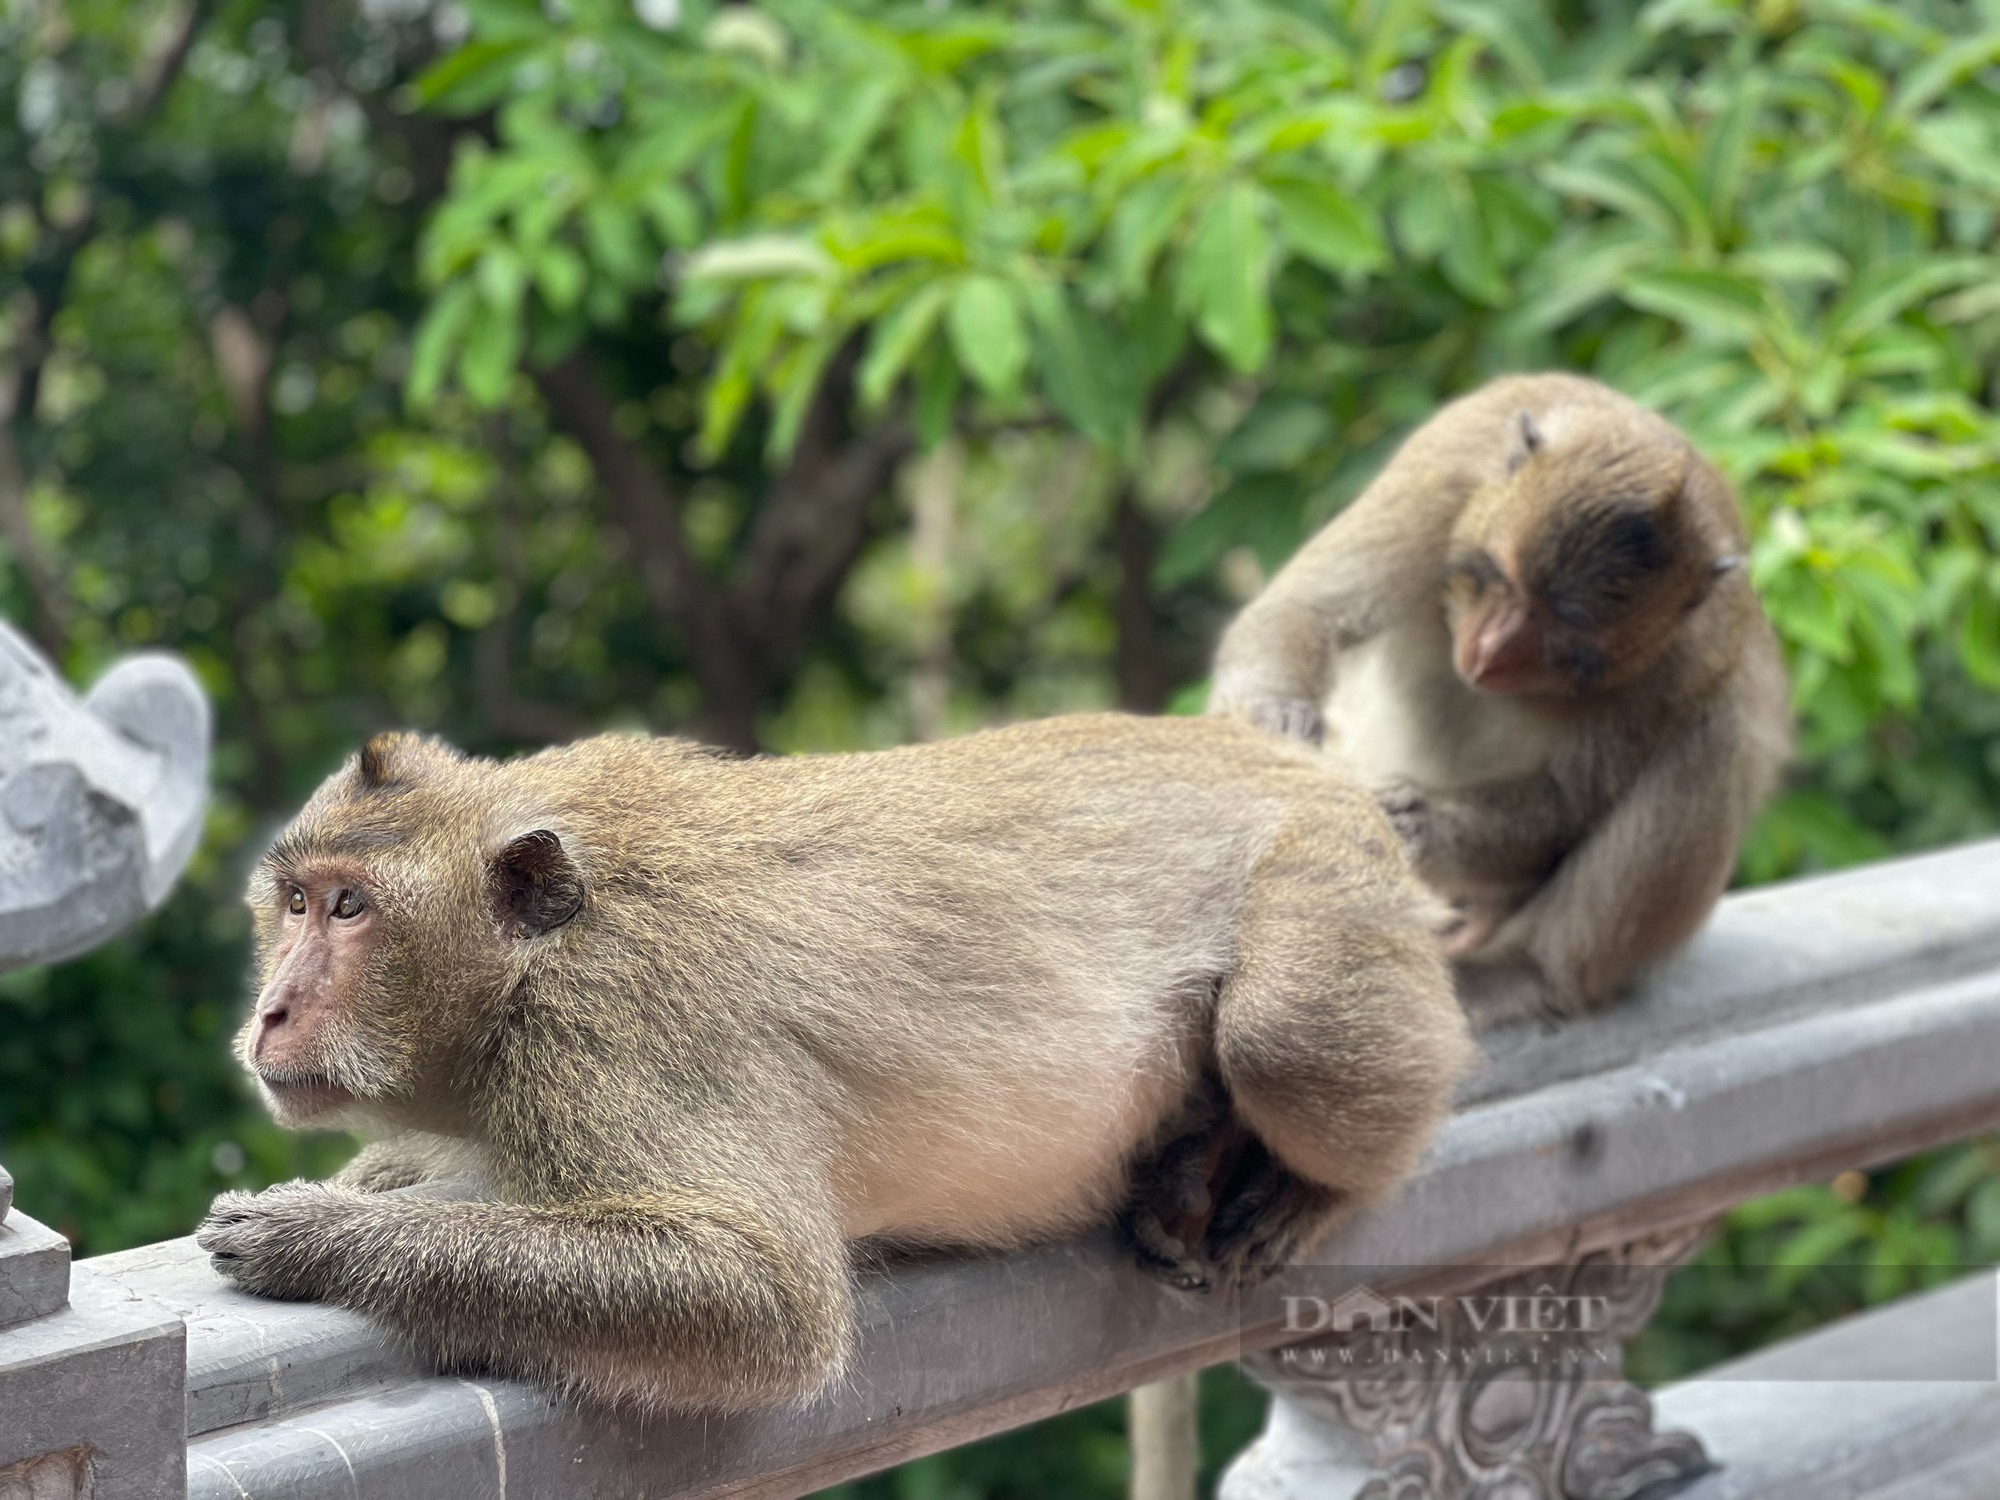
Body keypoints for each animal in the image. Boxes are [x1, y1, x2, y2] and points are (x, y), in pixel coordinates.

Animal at [199, 724, 1472, 1416]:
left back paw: (1311, 1189)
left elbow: (759, 1298)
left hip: (1329, 864)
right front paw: (366, 1191)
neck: (525, 968)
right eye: (295, 901)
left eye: (353, 910)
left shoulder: (617, 1032)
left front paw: (311, 1235)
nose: (269, 1012)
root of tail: (1286, 753)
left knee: (1280, 1033)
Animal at [1208, 378, 1792, 1024]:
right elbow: (1307, 608)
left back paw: (1528, 971)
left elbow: (1569, 802)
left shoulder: (1684, 655)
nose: (1489, 657)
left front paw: (1421, 827)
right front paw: (1275, 719)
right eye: (1505, 583)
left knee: (1715, 731)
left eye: (1570, 651)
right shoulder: (1443, 473)